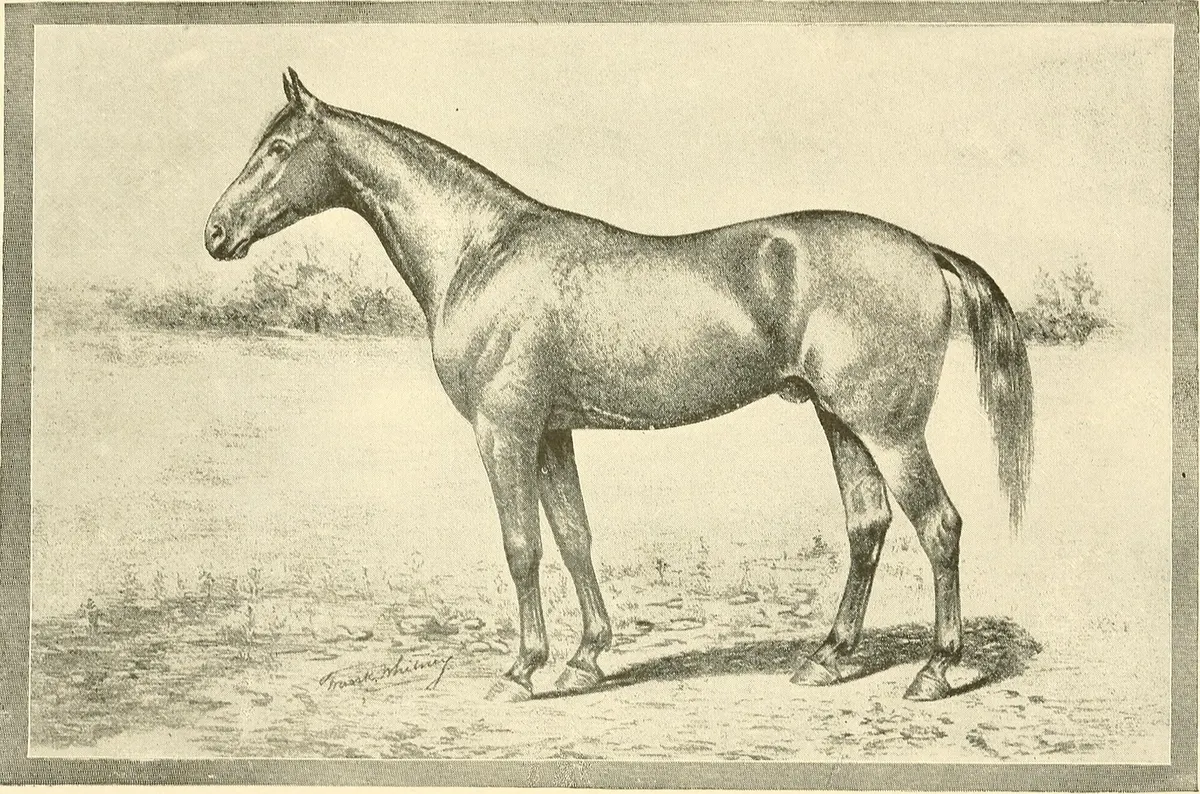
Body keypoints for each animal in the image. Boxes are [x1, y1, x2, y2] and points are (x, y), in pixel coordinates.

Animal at [206, 69, 1033, 703]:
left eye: (278, 148)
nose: (216, 232)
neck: (483, 251)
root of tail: (923, 249)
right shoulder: (550, 432)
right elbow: (574, 538)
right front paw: (585, 659)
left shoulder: (504, 430)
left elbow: (521, 546)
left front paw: (522, 670)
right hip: (839, 419)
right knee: (868, 526)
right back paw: (828, 658)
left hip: (889, 428)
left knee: (939, 526)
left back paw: (936, 671)